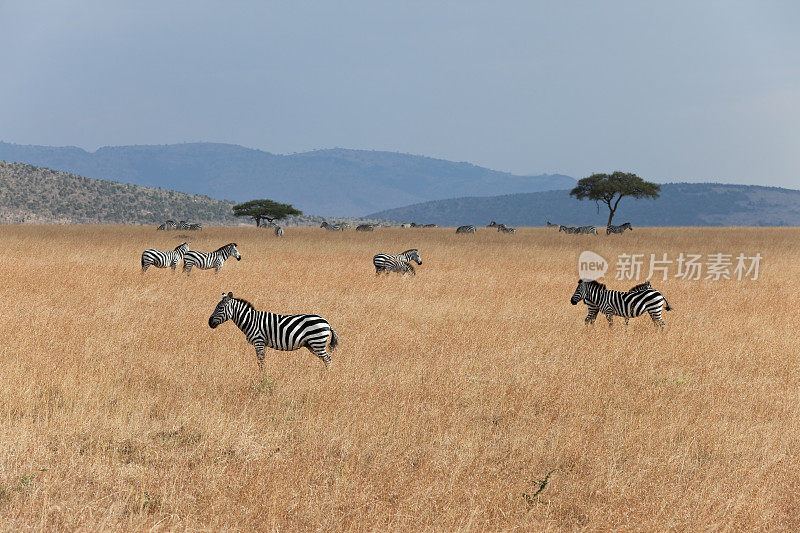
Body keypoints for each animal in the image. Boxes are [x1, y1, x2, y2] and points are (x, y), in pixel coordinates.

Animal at [208, 290, 336, 370]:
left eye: (220, 308)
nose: (209, 323)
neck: (251, 320)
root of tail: (327, 322)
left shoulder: (258, 342)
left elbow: (260, 362)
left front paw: (262, 378)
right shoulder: (262, 344)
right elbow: (262, 361)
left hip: (317, 342)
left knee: (328, 359)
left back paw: (324, 377)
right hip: (312, 345)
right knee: (326, 359)